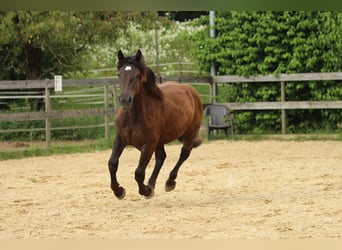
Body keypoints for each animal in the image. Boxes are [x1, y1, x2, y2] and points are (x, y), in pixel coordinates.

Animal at [107, 49, 203, 199]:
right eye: (119, 74)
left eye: (137, 75)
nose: (125, 100)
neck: (134, 116)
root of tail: (191, 90)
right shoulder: (120, 139)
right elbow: (112, 164)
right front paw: (119, 191)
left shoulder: (149, 144)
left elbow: (139, 172)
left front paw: (145, 190)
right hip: (160, 141)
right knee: (161, 158)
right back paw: (152, 185)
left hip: (189, 133)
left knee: (184, 154)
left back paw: (169, 182)